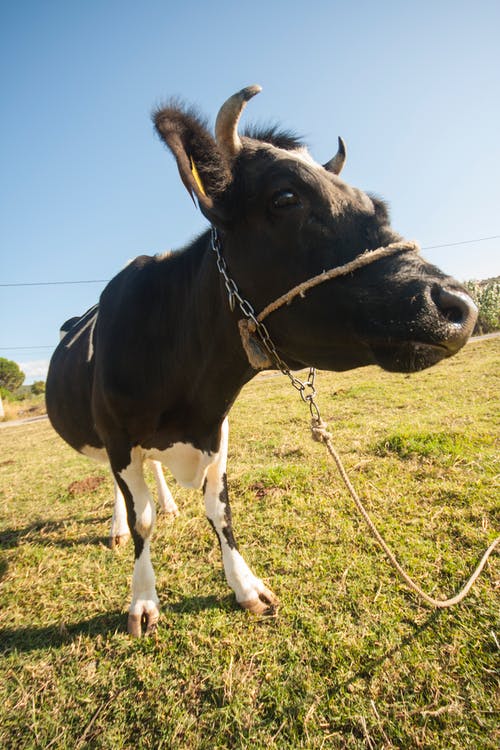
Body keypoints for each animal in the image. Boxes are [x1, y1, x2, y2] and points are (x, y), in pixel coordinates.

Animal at [46, 85, 476, 636]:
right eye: (285, 198)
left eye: (373, 204)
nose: (459, 307)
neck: (186, 396)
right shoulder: (118, 434)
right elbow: (141, 518)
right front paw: (142, 601)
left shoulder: (218, 428)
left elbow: (220, 508)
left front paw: (246, 587)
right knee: (121, 489)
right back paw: (121, 525)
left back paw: (169, 503)